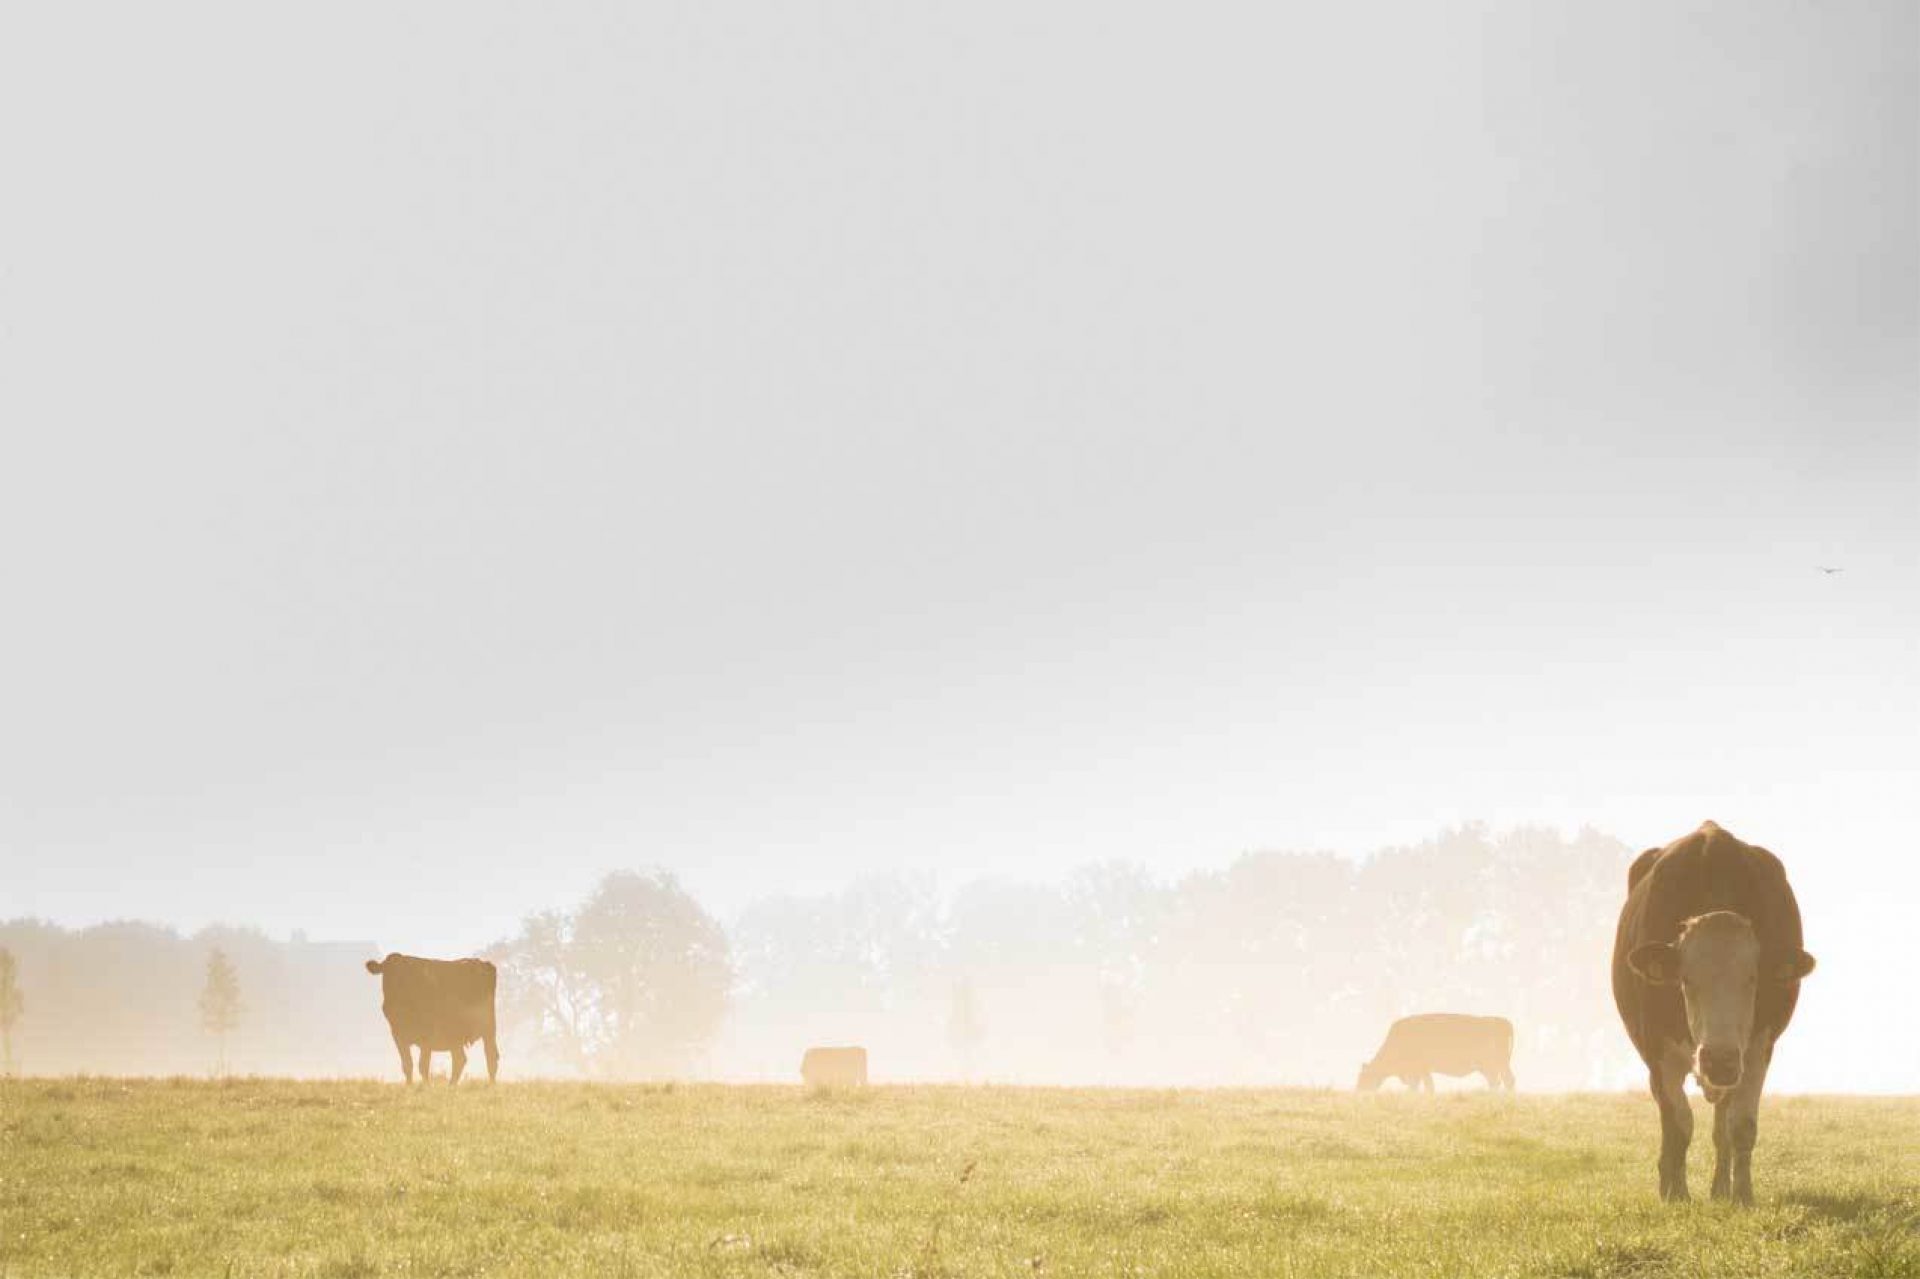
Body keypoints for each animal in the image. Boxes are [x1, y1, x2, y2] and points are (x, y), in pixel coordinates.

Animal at [364, 952, 503, 1083]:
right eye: (386, 973)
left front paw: (426, 1087)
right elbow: (407, 1065)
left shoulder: (427, 1036)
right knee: (460, 1059)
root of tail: (482, 963)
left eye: (404, 975)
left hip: (487, 1029)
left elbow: (423, 1066)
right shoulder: (398, 1036)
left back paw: (490, 1086)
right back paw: (451, 1086)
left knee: (490, 1058)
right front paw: (409, 1086)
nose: (389, 1004)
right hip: (455, 1035)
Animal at [1351, 1006, 1512, 1083]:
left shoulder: (1419, 1070)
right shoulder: (1421, 1071)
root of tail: (1501, 1020)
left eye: (1364, 1078)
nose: (1359, 1092)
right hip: (1494, 1066)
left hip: (1493, 1065)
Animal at [1605, 821, 1812, 1198]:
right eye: (1685, 979)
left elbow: (1741, 1125)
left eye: (1752, 978)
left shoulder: (1758, 1048)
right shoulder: (1658, 1049)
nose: (1719, 1059)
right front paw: (1677, 1195)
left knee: (1722, 1124)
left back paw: (1720, 1190)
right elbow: (1678, 1124)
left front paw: (1741, 1195)